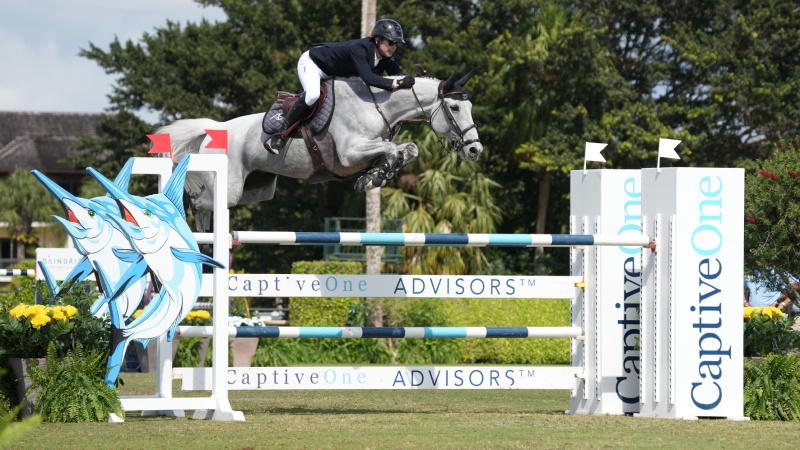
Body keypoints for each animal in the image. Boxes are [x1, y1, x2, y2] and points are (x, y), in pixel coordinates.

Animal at [159, 71, 478, 232]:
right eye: (454, 107)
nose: (475, 148)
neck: (377, 105)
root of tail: (215, 128)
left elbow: (407, 149)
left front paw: (375, 176)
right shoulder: (349, 154)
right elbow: (390, 148)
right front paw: (377, 175)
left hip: (258, 189)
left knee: (208, 201)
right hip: (231, 188)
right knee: (201, 200)